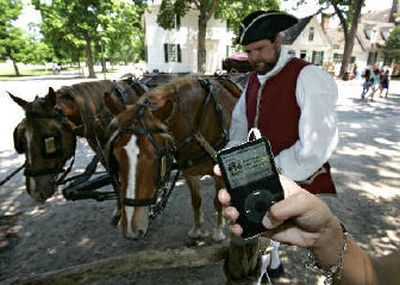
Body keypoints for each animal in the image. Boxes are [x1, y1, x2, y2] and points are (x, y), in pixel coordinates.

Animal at [104, 76, 239, 239]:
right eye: (116, 155)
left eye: (155, 157)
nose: (131, 229)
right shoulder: (189, 172)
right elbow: (196, 200)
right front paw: (197, 228)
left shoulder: (219, 170)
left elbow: (217, 201)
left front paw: (218, 230)